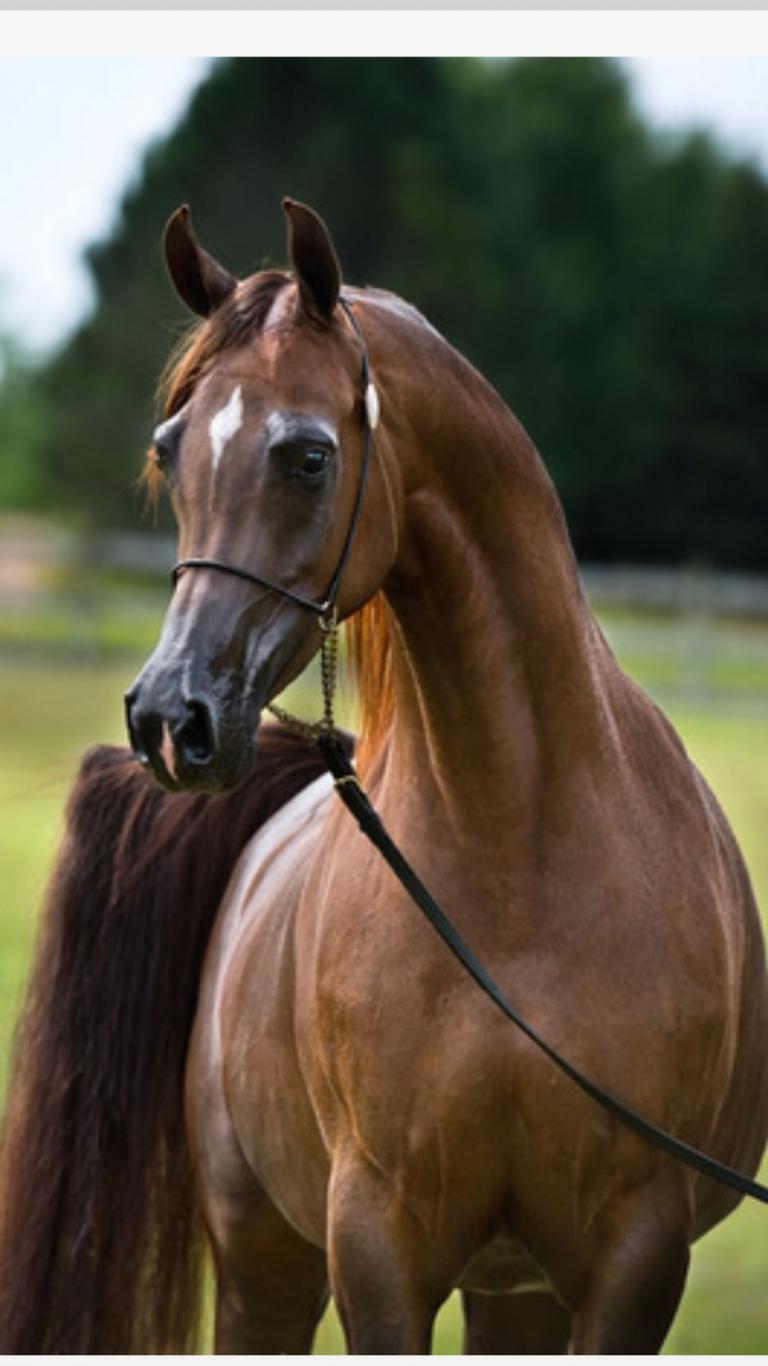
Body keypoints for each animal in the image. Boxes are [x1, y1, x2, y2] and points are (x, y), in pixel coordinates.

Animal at [0, 197, 766, 1355]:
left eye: (309, 456)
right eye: (170, 451)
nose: (170, 720)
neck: (522, 855)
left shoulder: (634, 1258)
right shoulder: (377, 1246)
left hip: (514, 1292)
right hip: (266, 1268)